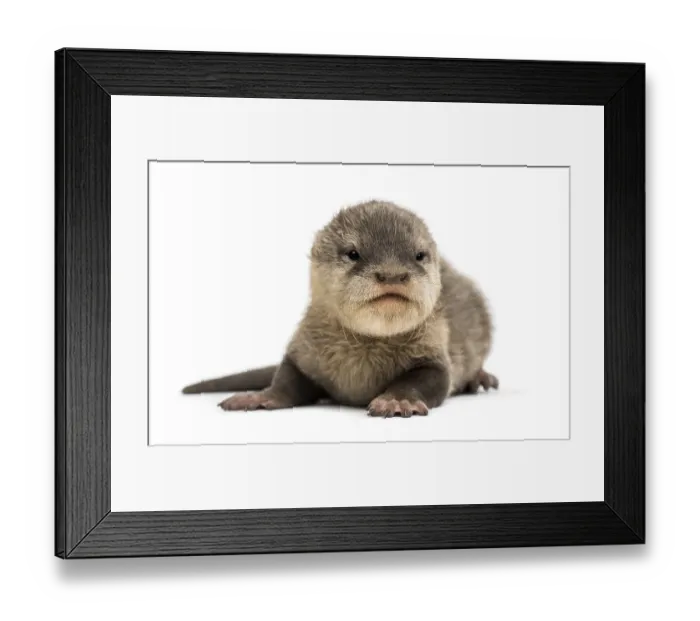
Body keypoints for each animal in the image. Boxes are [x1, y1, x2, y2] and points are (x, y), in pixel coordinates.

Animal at [182, 200, 498, 418]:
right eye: (353, 253)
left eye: (419, 255)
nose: (392, 274)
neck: (361, 365)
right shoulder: (305, 349)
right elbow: (288, 379)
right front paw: (259, 397)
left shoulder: (433, 349)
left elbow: (429, 379)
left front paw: (397, 400)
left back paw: (481, 379)